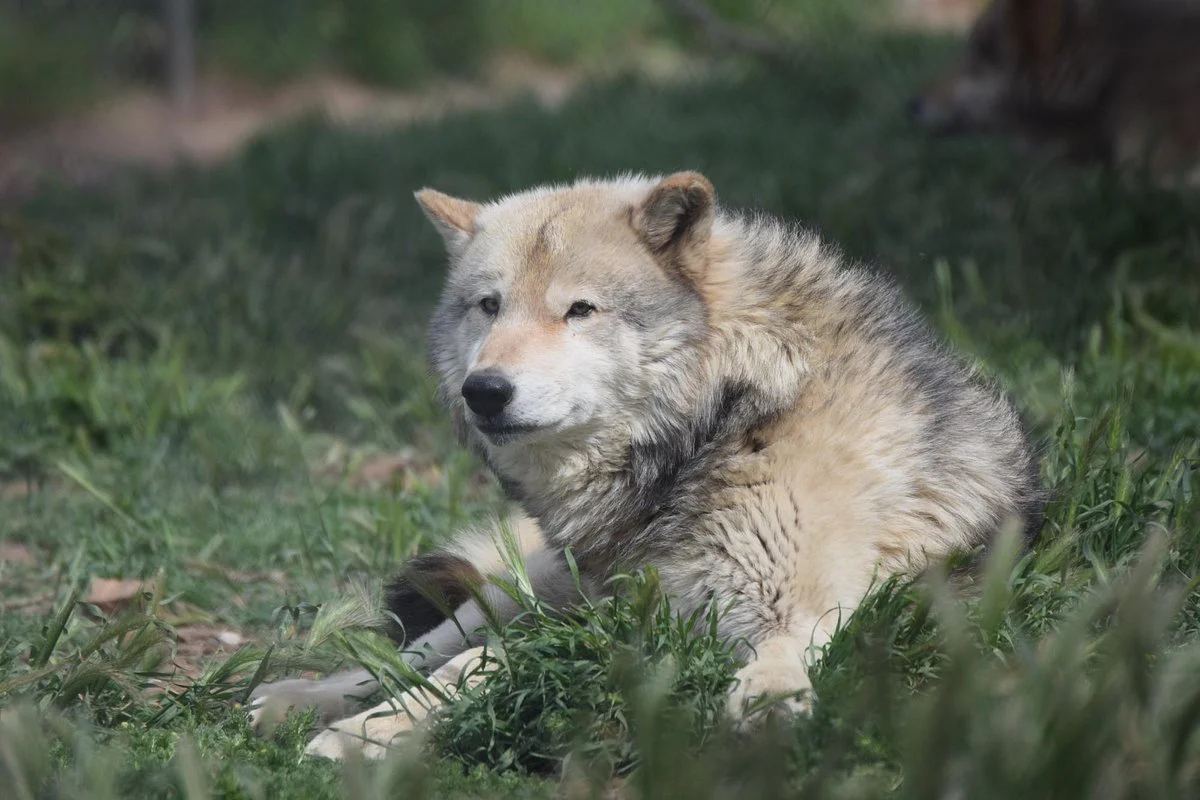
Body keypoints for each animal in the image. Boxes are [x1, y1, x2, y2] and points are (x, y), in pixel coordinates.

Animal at [248, 171, 1045, 737]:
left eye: (579, 310)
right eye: (490, 306)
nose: (485, 391)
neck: (718, 424)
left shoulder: (767, 613)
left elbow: (779, 661)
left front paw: (767, 709)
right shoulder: (623, 613)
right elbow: (459, 663)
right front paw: (361, 731)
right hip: (542, 583)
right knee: (421, 645)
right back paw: (293, 699)